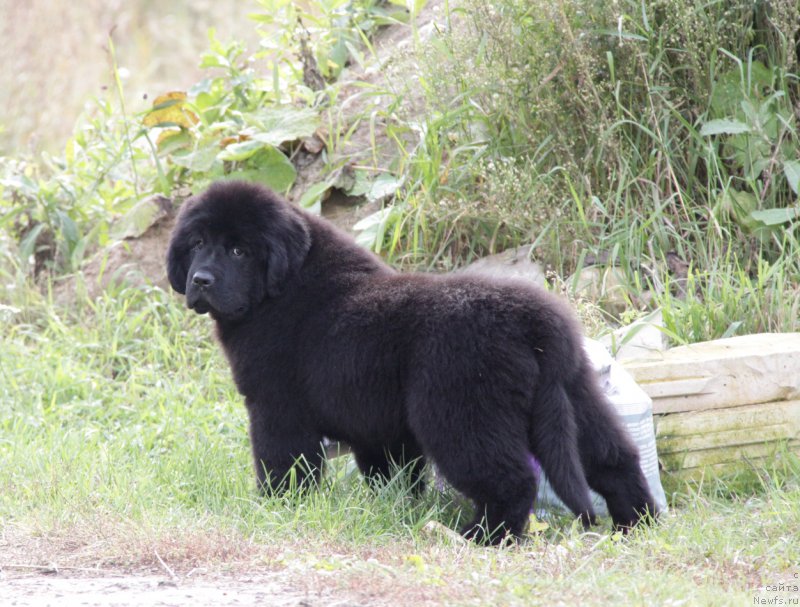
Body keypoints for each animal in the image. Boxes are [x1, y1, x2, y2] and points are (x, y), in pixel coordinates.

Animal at [167, 179, 656, 540]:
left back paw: (481, 537)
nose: (201, 280)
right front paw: (389, 506)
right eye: (197, 243)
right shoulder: (377, 427)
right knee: (615, 459)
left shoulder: (276, 408)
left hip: (460, 414)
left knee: (513, 480)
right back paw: (637, 524)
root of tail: (535, 320)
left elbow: (282, 464)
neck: (283, 288)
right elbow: (387, 475)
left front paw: (276, 507)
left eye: (239, 250)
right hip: (577, 396)